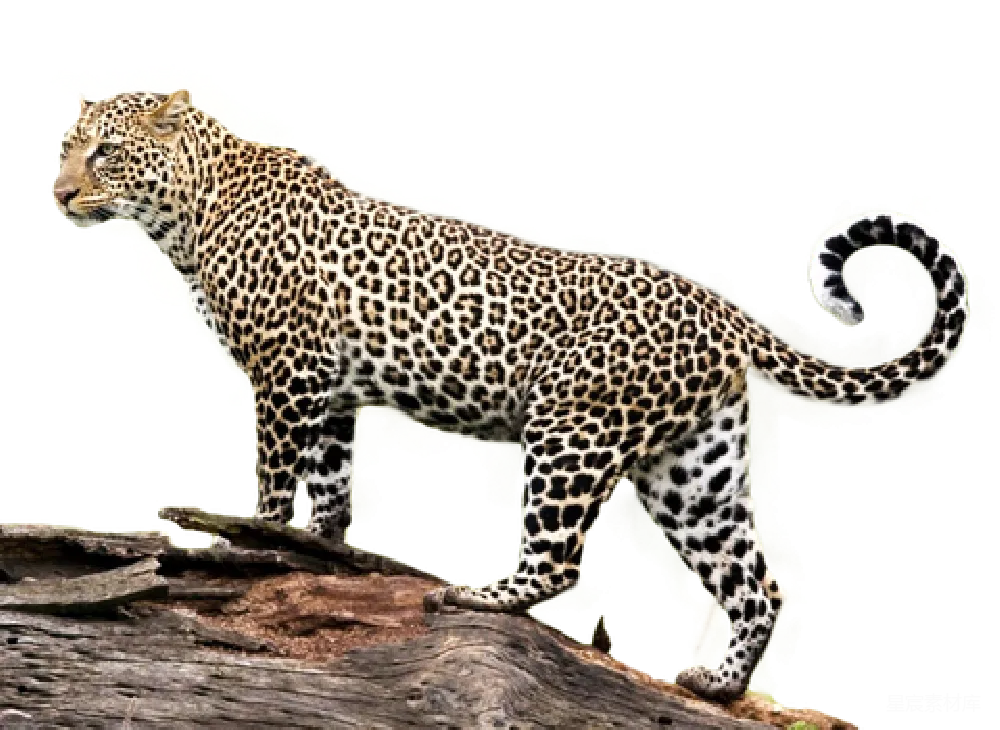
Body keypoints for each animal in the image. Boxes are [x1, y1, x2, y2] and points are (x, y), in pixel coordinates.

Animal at [51, 88, 969, 703]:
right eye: (66, 145)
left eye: (106, 153)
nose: (59, 193)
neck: (187, 211)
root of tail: (718, 308)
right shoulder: (329, 390)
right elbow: (326, 493)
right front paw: (311, 557)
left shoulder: (285, 371)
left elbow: (274, 484)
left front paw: (245, 550)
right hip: (692, 471)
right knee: (755, 582)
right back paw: (717, 686)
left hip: (570, 430)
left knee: (559, 561)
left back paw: (476, 593)